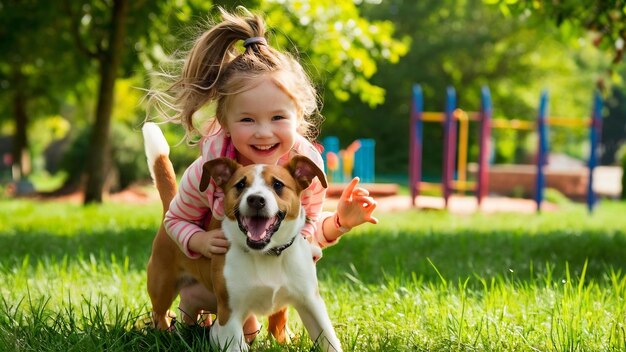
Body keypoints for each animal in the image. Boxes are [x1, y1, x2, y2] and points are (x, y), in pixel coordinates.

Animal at [141, 122, 342, 350]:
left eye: (278, 185)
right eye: (240, 185)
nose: (256, 200)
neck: (267, 255)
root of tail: (170, 206)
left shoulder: (311, 303)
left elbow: (329, 339)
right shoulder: (230, 315)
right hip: (162, 287)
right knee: (160, 314)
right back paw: (162, 335)